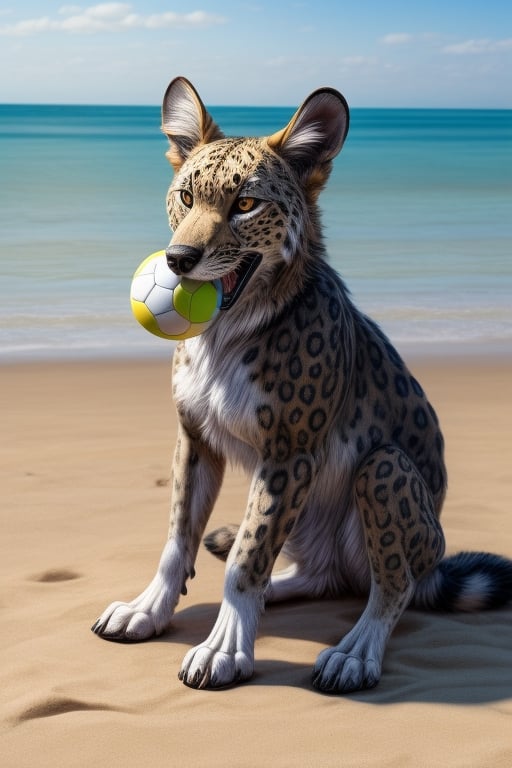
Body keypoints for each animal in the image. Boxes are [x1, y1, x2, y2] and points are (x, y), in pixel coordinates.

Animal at [93, 79, 512, 696]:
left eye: (246, 204)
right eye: (186, 197)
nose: (178, 259)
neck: (228, 335)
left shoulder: (289, 457)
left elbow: (247, 557)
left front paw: (225, 647)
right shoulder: (196, 440)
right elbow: (179, 539)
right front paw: (150, 609)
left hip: (383, 469)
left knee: (392, 585)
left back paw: (355, 652)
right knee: (322, 575)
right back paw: (282, 592)